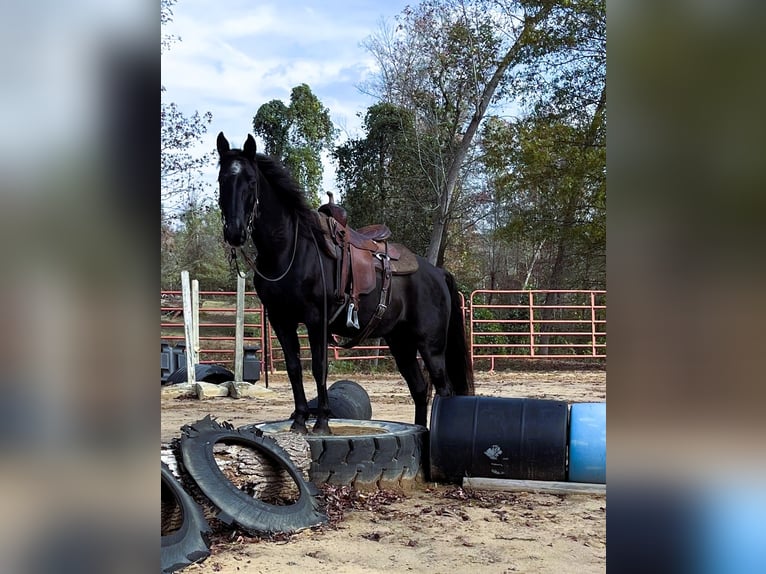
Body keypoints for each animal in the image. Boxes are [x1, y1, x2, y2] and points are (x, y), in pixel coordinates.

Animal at [213, 133, 472, 434]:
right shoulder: (281, 320)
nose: (234, 232)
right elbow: (293, 367)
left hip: (431, 344)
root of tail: (438, 273)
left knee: (443, 389)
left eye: (251, 181)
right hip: (401, 342)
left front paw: (322, 421)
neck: (289, 250)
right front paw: (300, 420)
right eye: (222, 179)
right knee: (419, 389)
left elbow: (319, 367)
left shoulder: (316, 319)